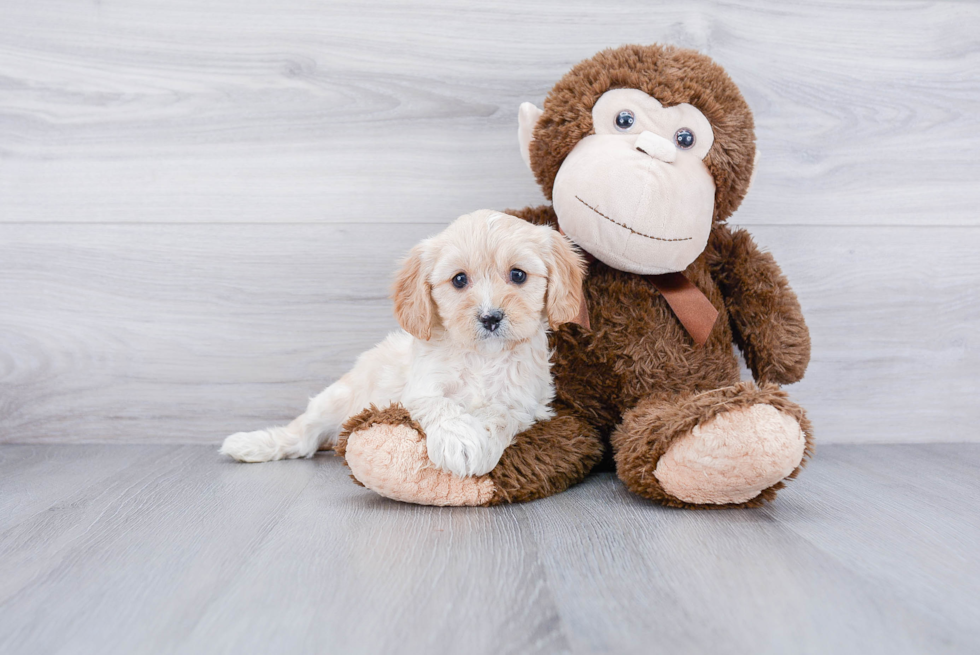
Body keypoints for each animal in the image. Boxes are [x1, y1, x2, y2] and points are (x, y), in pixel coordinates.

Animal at [222, 210, 580, 476]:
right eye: (459, 280)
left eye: (518, 275)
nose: (490, 317)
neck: (482, 358)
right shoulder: (419, 390)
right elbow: (441, 405)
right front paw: (460, 441)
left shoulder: (524, 405)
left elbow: (499, 415)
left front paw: (478, 442)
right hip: (334, 400)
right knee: (302, 434)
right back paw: (251, 444)